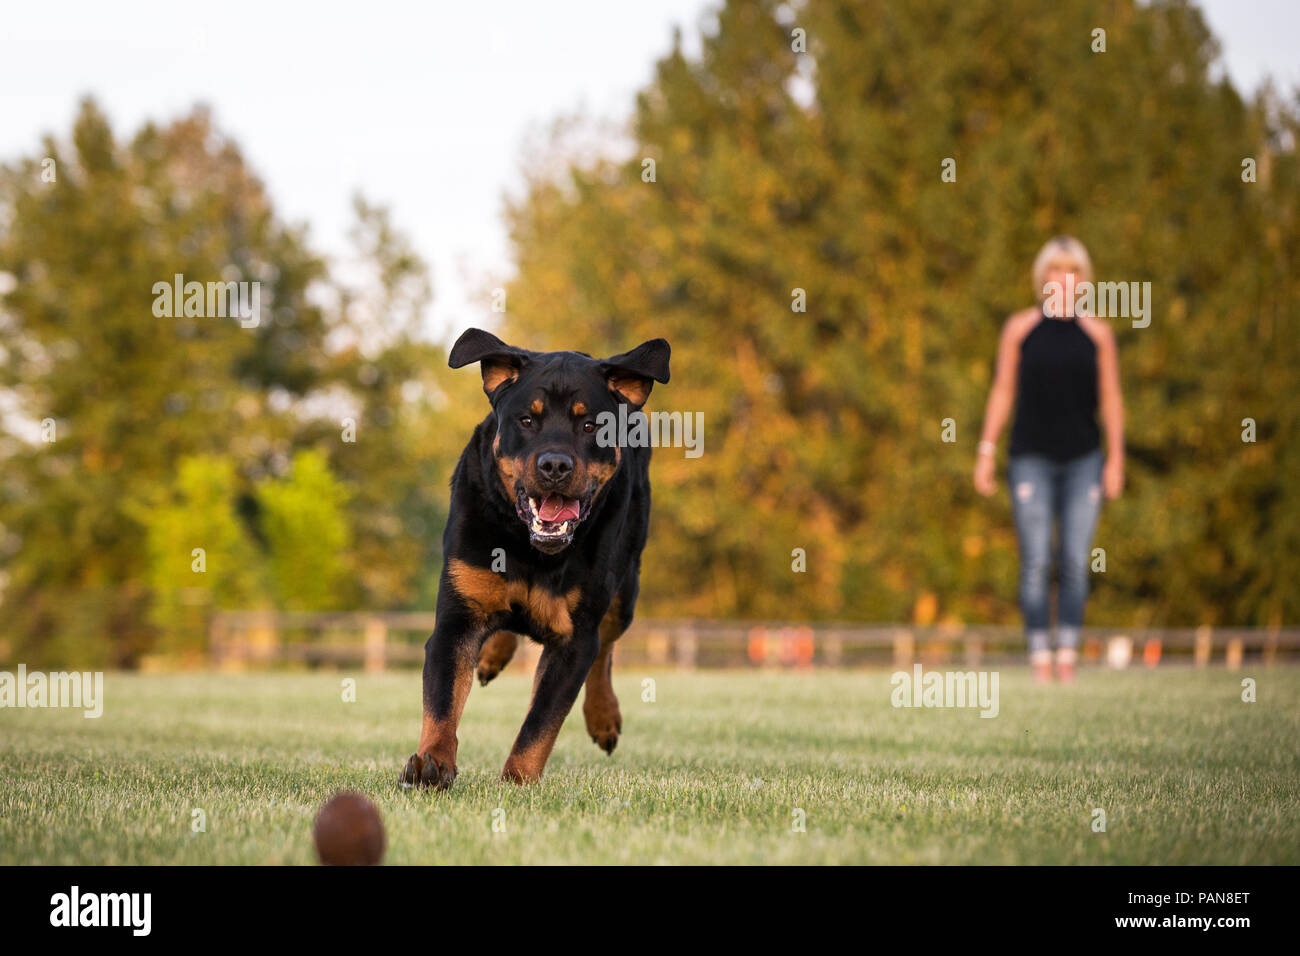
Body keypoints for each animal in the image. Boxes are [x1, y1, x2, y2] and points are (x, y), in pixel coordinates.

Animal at [397, 325, 670, 790]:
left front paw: (518, 781)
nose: (555, 464)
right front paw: (432, 763)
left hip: (626, 586)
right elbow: (442, 700)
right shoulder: (457, 615)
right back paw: (491, 656)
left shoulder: (575, 639)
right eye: (526, 420)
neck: (531, 550)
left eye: (590, 424)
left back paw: (603, 717)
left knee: (607, 645)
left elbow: (540, 722)